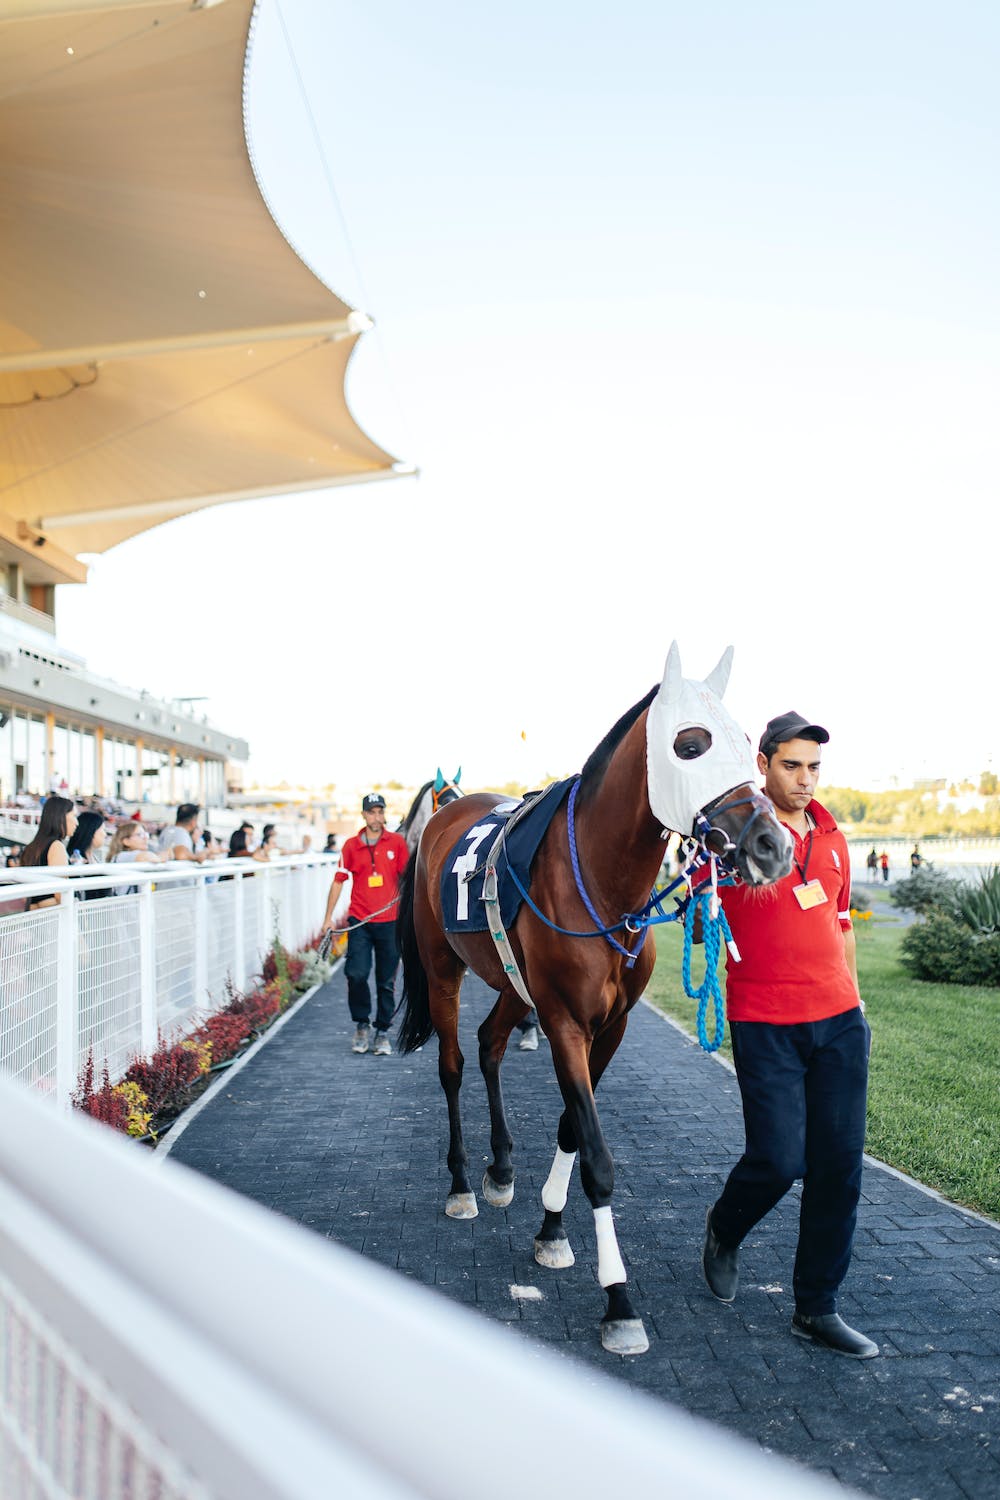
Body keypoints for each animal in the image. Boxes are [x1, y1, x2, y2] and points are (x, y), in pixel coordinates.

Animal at [395, 639, 791, 1356]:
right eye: (690, 743)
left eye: (749, 742)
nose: (771, 846)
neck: (605, 886)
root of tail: (446, 815)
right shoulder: (565, 1022)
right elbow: (599, 1158)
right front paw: (618, 1299)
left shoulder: (612, 1025)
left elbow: (571, 1130)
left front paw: (550, 1230)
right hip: (443, 971)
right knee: (453, 1065)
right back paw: (464, 1182)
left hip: (511, 982)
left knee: (489, 1044)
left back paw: (501, 1169)